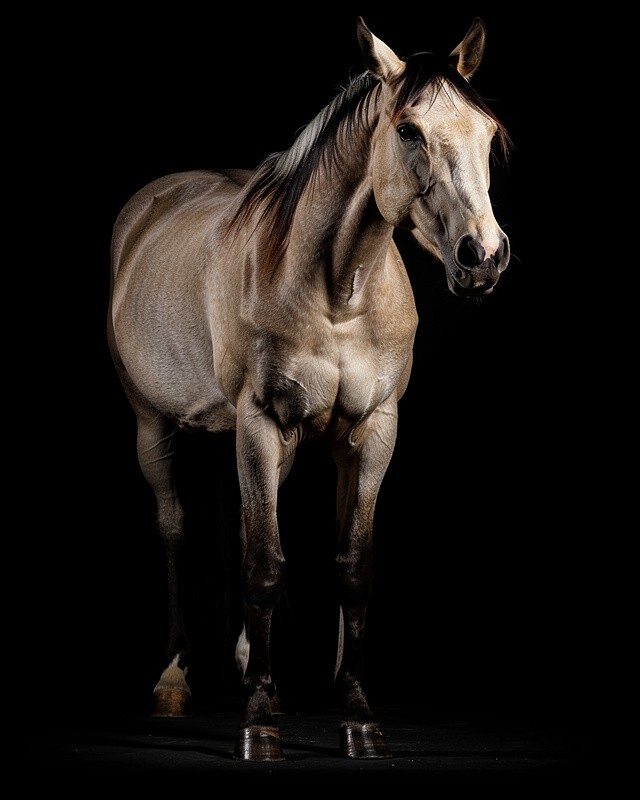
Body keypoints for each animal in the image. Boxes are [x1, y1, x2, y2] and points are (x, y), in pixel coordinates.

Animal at [107, 15, 511, 762]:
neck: (339, 289)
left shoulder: (374, 429)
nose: (484, 256)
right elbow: (265, 564)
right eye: (408, 130)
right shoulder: (261, 422)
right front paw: (259, 723)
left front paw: (357, 714)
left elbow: (352, 568)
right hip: (155, 426)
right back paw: (175, 678)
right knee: (175, 528)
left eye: (488, 132)